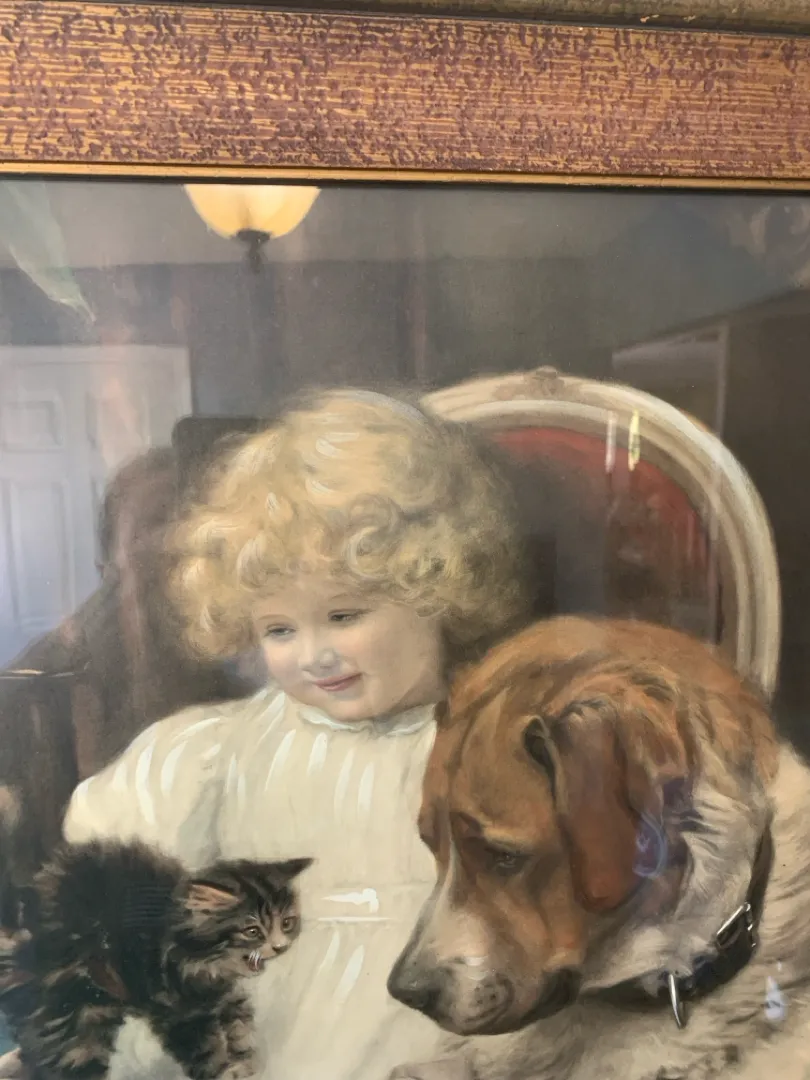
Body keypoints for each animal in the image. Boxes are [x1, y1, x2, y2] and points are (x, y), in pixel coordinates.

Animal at [0, 839, 312, 1080]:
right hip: (81, 1010)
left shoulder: (224, 994)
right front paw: (229, 1071)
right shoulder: (180, 1013)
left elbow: (241, 1025)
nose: (280, 947)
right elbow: (209, 1053)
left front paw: (247, 1061)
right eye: (253, 931)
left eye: (287, 923)